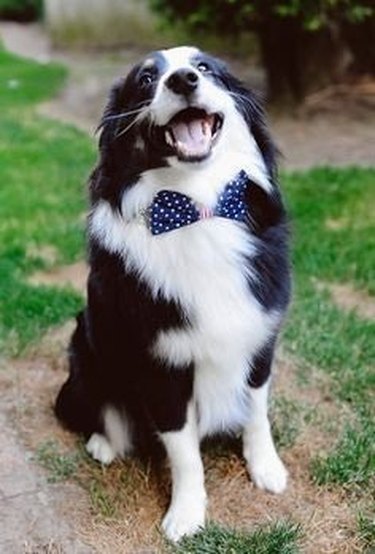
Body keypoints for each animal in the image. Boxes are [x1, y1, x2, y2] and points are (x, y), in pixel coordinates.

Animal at [55, 46, 290, 540]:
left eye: (204, 68)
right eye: (146, 79)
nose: (182, 80)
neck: (196, 206)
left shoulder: (260, 338)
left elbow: (256, 411)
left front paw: (266, 468)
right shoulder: (163, 365)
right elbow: (184, 451)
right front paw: (186, 513)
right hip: (86, 351)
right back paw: (105, 443)